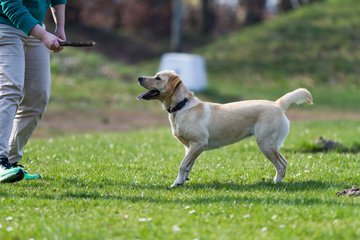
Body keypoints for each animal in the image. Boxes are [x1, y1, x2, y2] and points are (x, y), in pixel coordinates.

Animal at [138, 70, 312, 188]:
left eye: (158, 78)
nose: (139, 77)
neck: (181, 106)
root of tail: (278, 104)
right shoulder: (189, 147)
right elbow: (188, 166)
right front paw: (182, 181)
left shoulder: (198, 144)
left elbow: (182, 165)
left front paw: (176, 183)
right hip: (271, 145)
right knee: (284, 162)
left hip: (265, 144)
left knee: (281, 164)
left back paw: (275, 183)